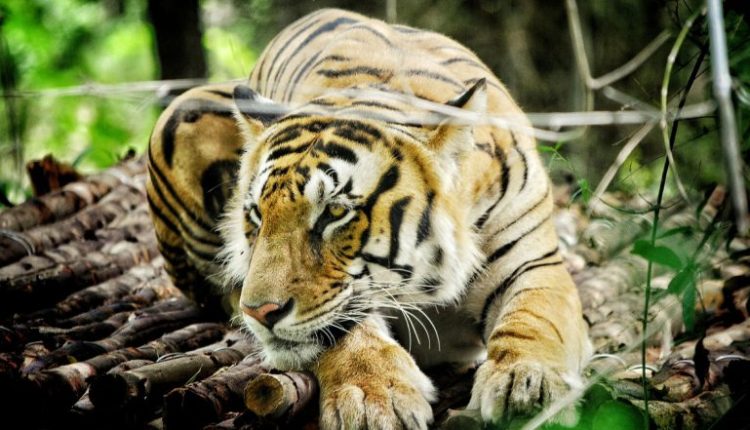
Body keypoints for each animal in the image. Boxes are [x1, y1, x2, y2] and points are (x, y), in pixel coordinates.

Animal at [146, 8, 591, 429]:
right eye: (257, 214)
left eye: (334, 212)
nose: (259, 312)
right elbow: (344, 330)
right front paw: (371, 399)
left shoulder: (535, 263)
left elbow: (535, 318)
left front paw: (528, 386)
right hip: (186, 111)